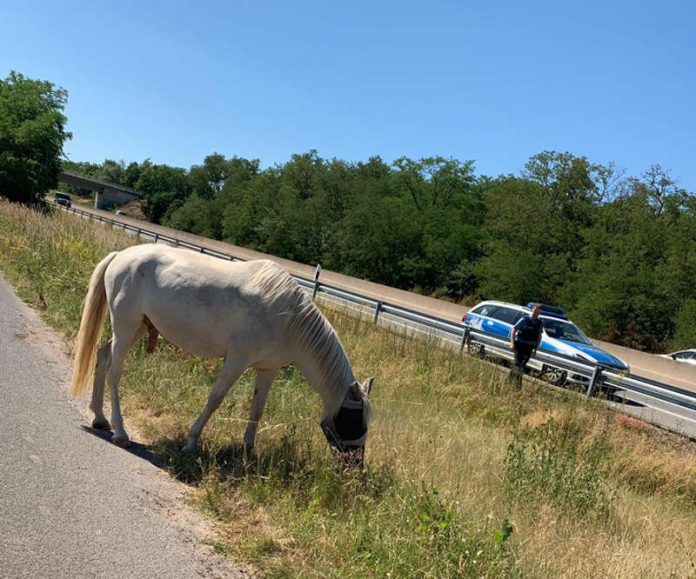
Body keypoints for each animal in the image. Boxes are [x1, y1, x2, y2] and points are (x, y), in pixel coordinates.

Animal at [69, 245, 376, 462]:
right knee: (114, 372)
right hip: (126, 326)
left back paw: (99, 417)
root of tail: (121, 256)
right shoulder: (236, 360)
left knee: (102, 357)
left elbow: (257, 409)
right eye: (353, 421)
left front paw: (248, 451)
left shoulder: (269, 368)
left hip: (138, 328)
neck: (288, 319)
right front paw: (191, 442)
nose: (353, 466)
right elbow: (215, 399)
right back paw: (120, 432)